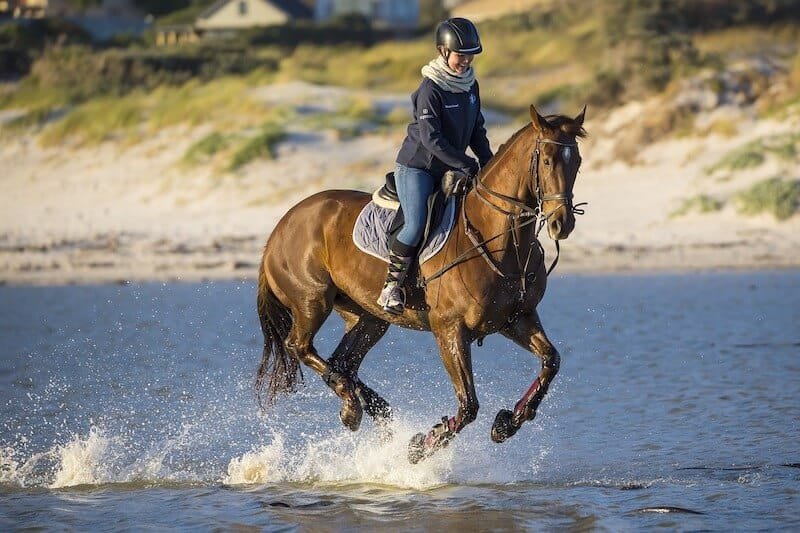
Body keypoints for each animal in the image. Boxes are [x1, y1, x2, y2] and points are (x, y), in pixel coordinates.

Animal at [256, 104, 587, 463]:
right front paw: (422, 445)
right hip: (311, 301)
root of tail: (280, 226)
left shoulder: (517, 319)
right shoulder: (450, 330)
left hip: (368, 317)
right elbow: (468, 406)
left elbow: (551, 362)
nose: (562, 223)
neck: (499, 239)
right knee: (300, 346)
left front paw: (507, 423)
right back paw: (353, 406)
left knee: (342, 362)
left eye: (577, 162)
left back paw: (369, 410)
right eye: (547, 161)